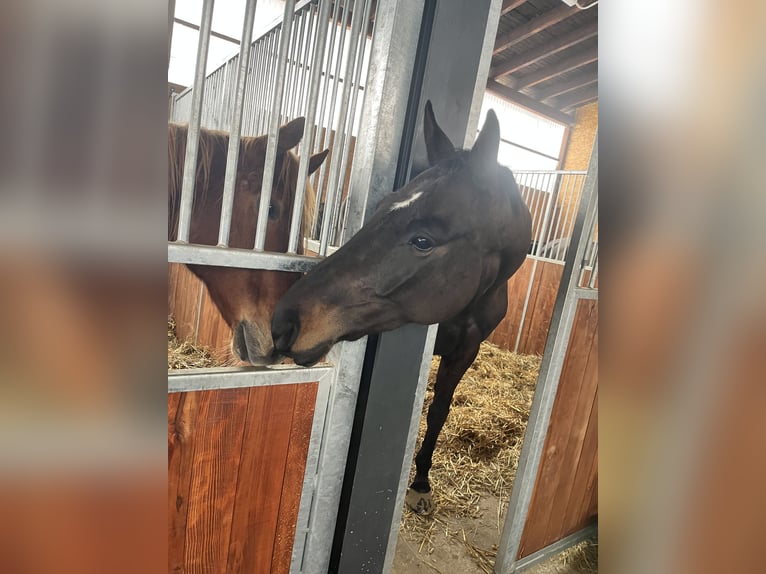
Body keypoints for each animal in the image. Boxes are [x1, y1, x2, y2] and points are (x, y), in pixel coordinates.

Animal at [270, 101, 532, 514]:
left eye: (423, 240)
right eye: (380, 208)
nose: (284, 322)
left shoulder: (466, 350)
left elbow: (439, 409)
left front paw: (421, 481)